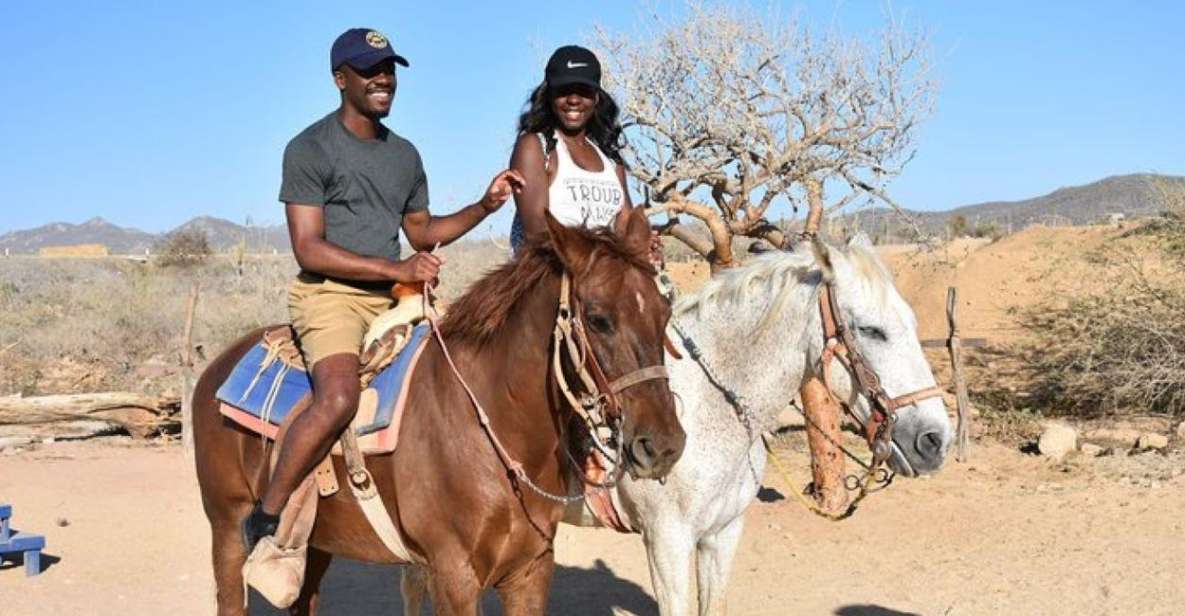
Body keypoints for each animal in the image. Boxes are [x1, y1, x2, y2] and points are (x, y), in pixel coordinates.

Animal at [193, 208, 687, 616]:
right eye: (600, 319)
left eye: (665, 313)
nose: (664, 445)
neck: (492, 425)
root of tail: (215, 368)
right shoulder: (454, 576)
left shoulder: (531, 571)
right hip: (227, 529)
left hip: (314, 542)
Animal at [402, 236, 957, 616]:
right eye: (871, 330)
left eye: (911, 323)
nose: (934, 439)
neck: (713, 409)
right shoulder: (667, 540)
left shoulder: (722, 534)